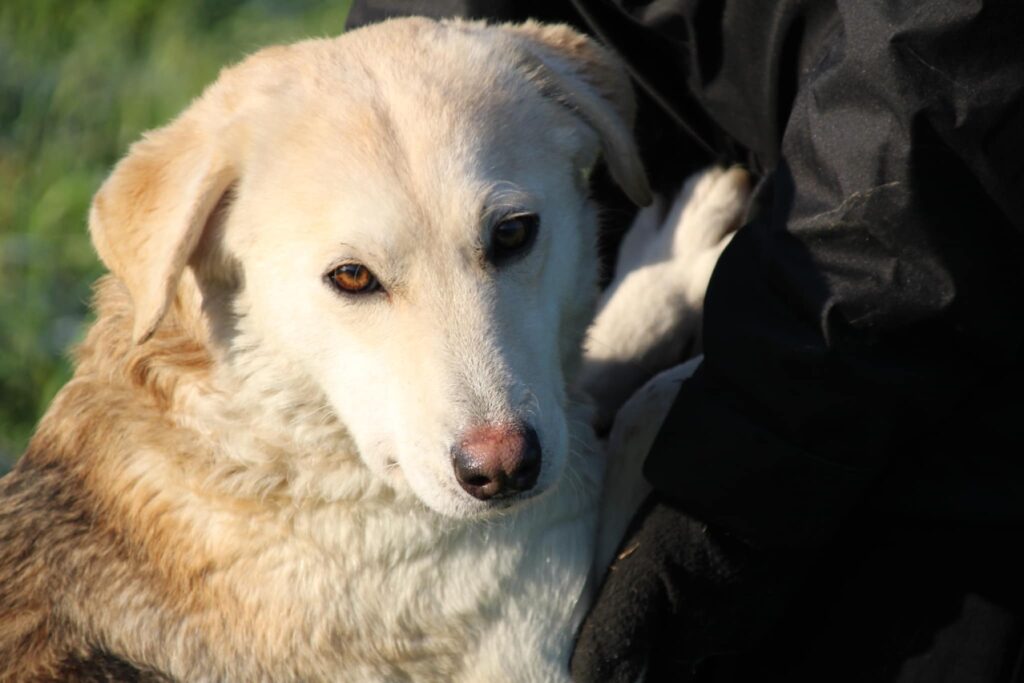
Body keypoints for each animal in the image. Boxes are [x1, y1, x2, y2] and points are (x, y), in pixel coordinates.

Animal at [2, 17, 753, 683]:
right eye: (352, 277)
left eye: (513, 233)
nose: (503, 471)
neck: (275, 431)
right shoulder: (548, 652)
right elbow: (644, 408)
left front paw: (676, 254)